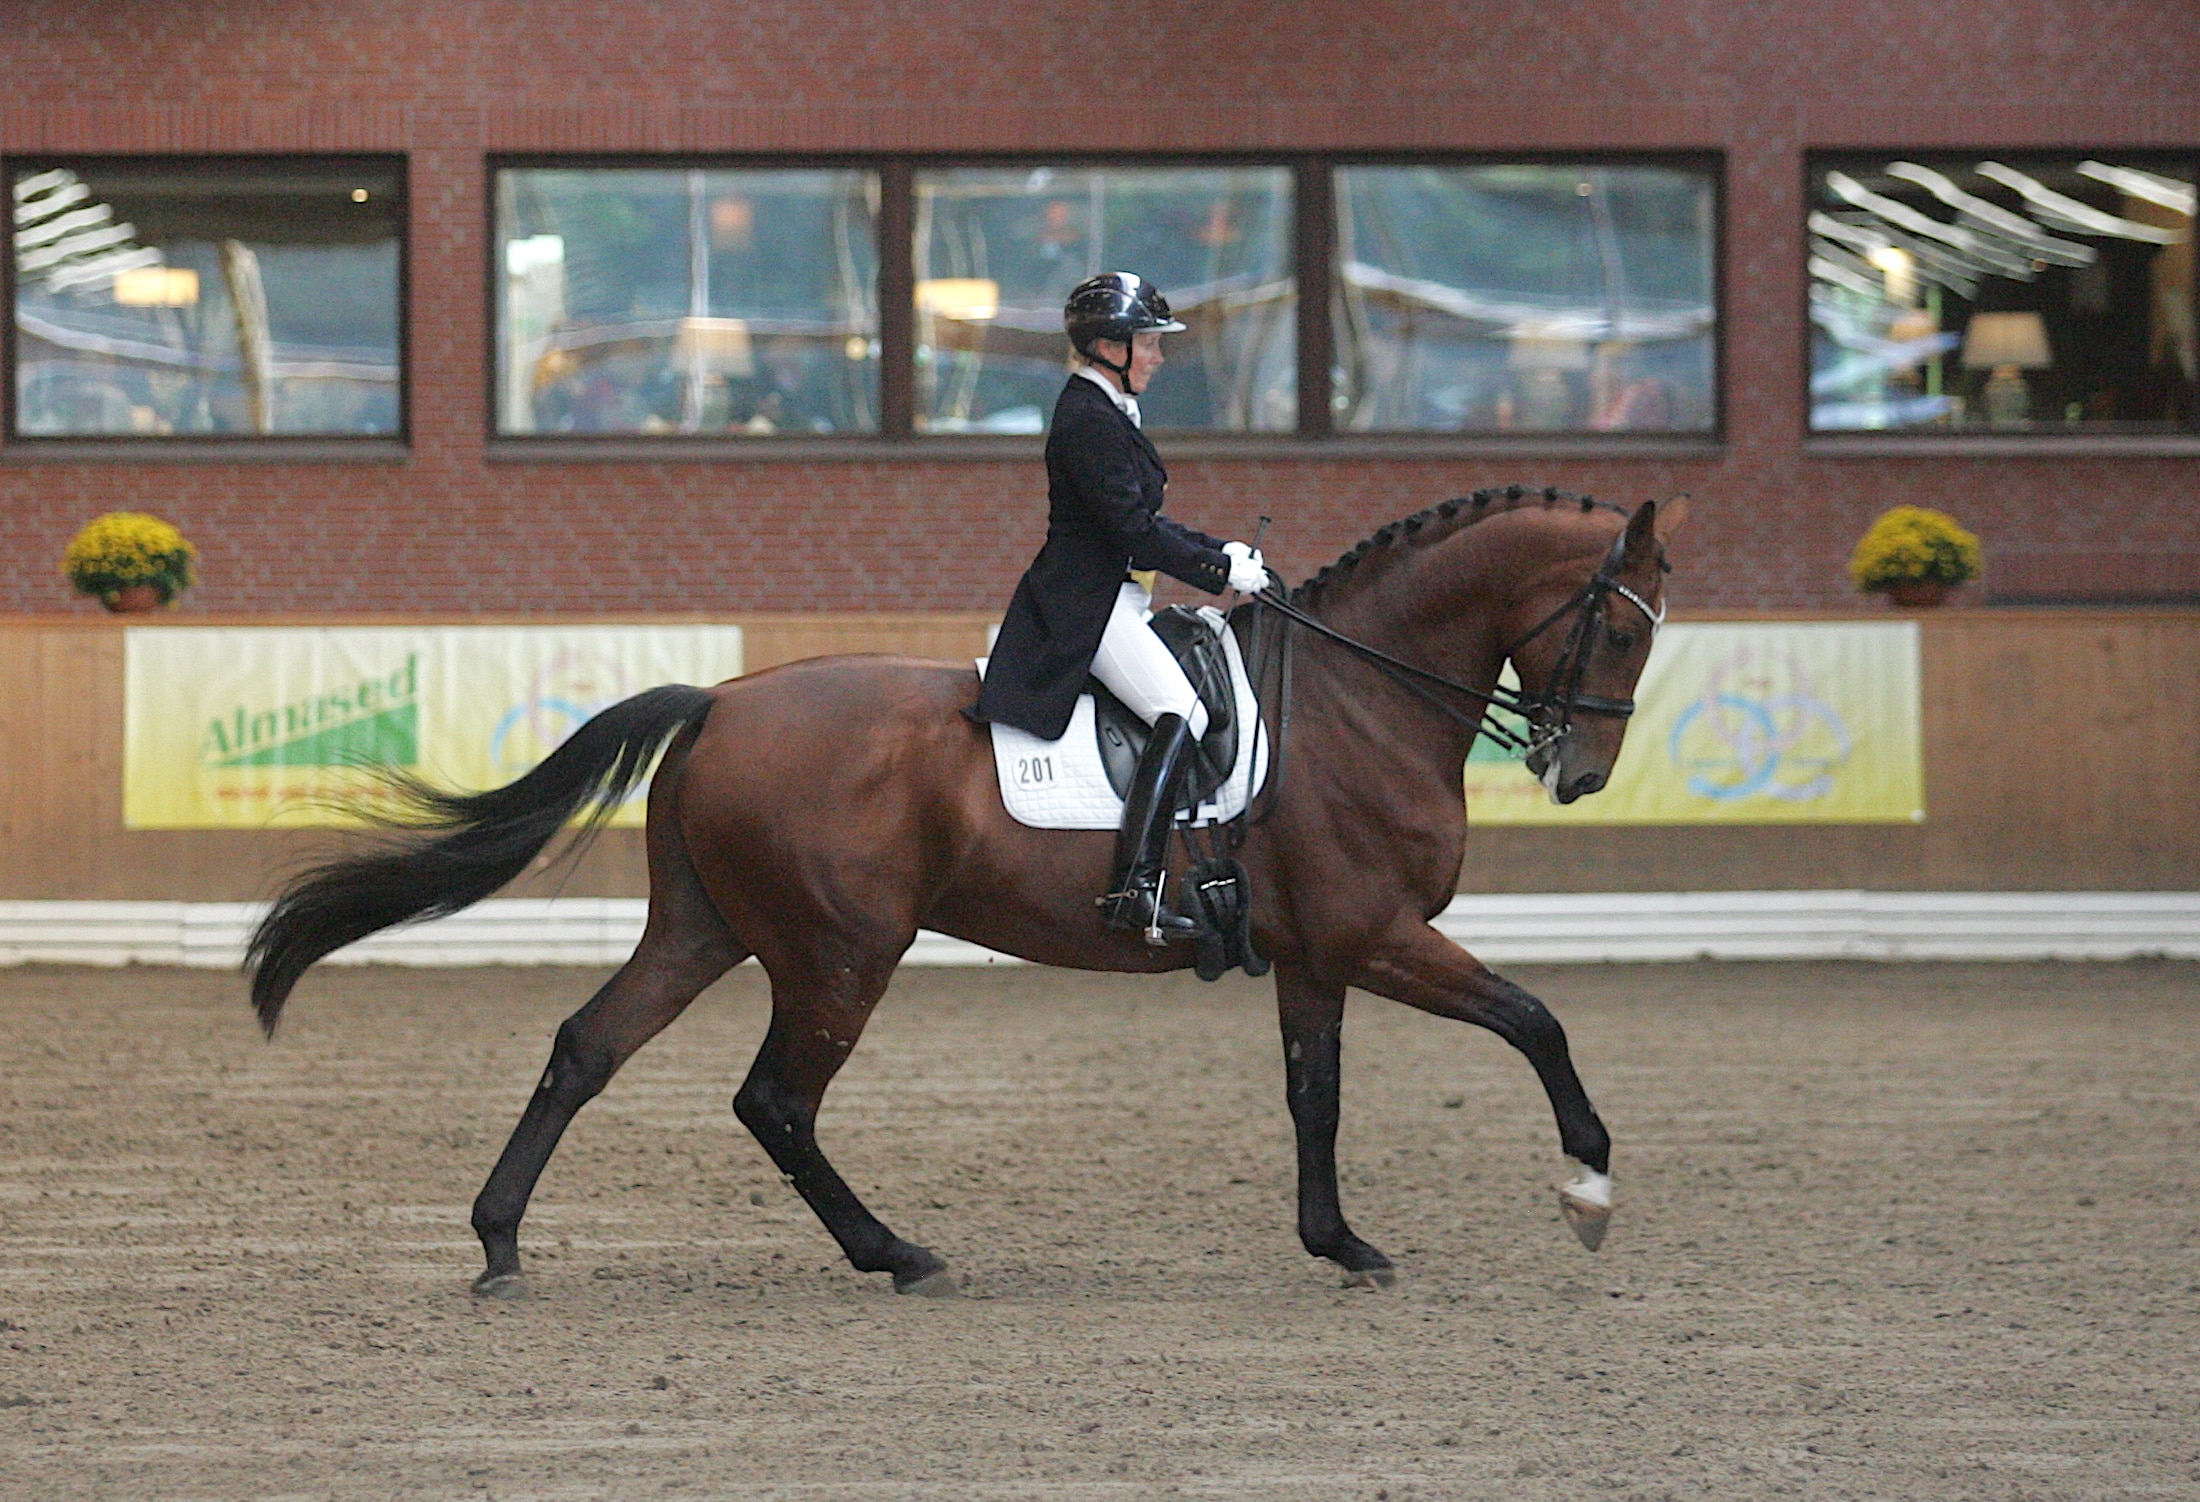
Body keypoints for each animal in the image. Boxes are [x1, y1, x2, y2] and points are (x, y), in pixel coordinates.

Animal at [245, 488, 1680, 1301]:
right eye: (1617, 627)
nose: (1579, 771)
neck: (1357, 696)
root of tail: (718, 701)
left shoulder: (1319, 952)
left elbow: (1314, 1097)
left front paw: (1339, 1243)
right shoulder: (1379, 933)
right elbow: (1536, 1019)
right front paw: (1590, 1190)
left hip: (707, 928)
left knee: (586, 1047)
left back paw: (497, 1243)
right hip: (840, 951)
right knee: (773, 1101)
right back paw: (896, 1253)